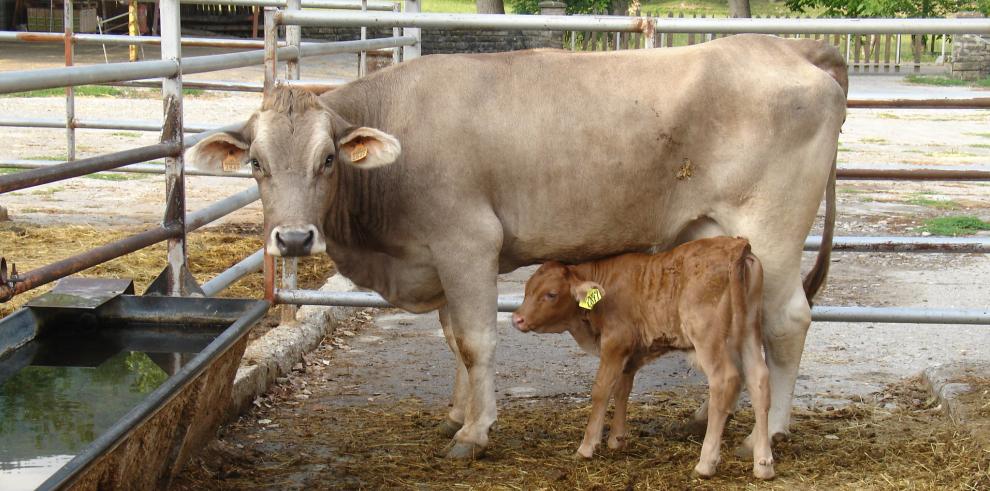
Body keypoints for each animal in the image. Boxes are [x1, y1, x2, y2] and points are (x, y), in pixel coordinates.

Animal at [516, 238, 780, 480]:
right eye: (528, 289)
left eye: (551, 294)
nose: (518, 318)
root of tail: (735, 244)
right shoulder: (628, 353)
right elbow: (622, 389)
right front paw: (617, 439)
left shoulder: (615, 342)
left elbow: (601, 390)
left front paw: (587, 446)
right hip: (749, 329)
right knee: (759, 380)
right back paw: (763, 463)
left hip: (707, 335)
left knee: (725, 381)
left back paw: (706, 463)